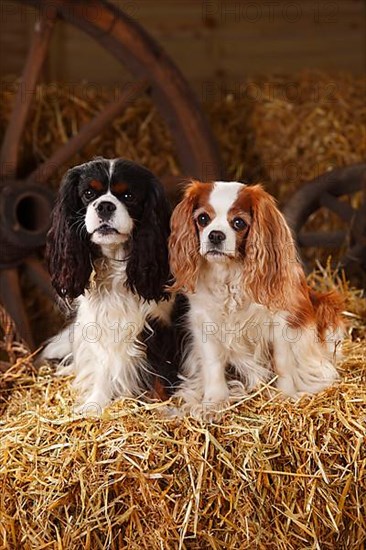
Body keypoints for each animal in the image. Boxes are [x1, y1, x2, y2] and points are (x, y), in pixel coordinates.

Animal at [43, 157, 180, 412]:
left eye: (128, 196)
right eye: (88, 194)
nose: (105, 206)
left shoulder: (159, 325)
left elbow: (159, 371)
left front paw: (161, 406)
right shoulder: (98, 324)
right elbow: (103, 364)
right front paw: (95, 404)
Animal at [169, 181, 344, 414]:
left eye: (238, 223)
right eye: (203, 218)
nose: (215, 235)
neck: (229, 276)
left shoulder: (281, 323)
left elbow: (282, 362)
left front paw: (285, 396)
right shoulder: (204, 322)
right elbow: (213, 363)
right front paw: (214, 402)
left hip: (326, 309)